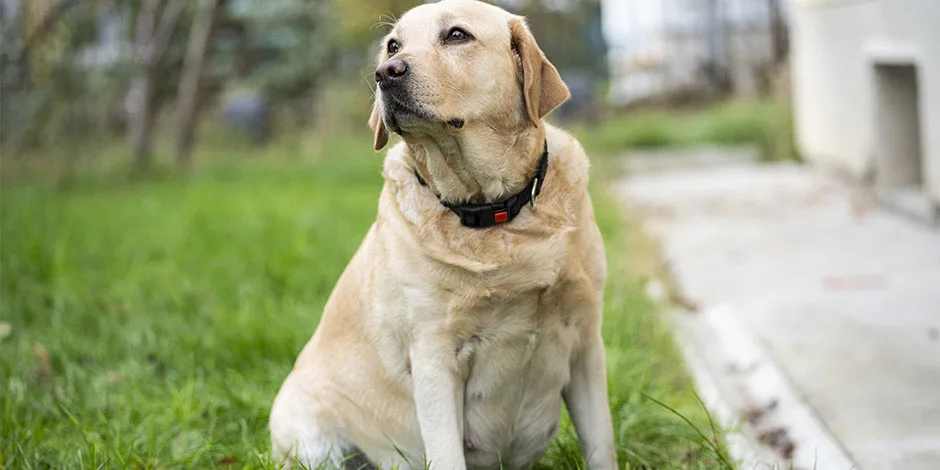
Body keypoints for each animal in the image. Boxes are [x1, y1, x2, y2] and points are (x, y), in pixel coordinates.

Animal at [270, 0, 616, 470]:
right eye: (393, 45)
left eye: (456, 35)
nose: (385, 72)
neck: (492, 211)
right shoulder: (434, 358)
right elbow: (447, 452)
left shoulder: (585, 344)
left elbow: (601, 444)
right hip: (312, 439)